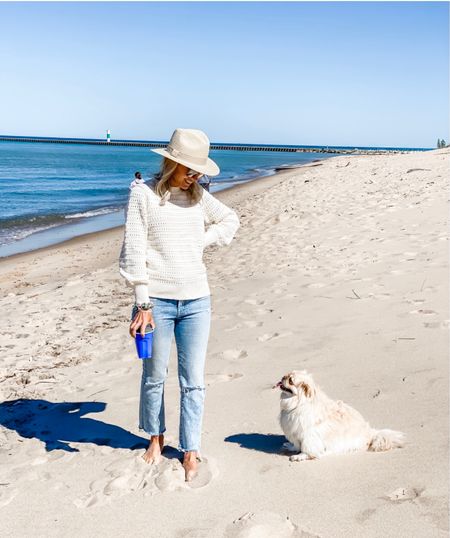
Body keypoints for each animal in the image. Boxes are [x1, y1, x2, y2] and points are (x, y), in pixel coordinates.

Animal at [272, 368, 406, 460]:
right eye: (286, 375)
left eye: (291, 380)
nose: (283, 377)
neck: (298, 403)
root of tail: (370, 433)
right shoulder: (295, 432)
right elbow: (296, 444)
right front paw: (291, 447)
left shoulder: (308, 435)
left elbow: (308, 449)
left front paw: (300, 456)